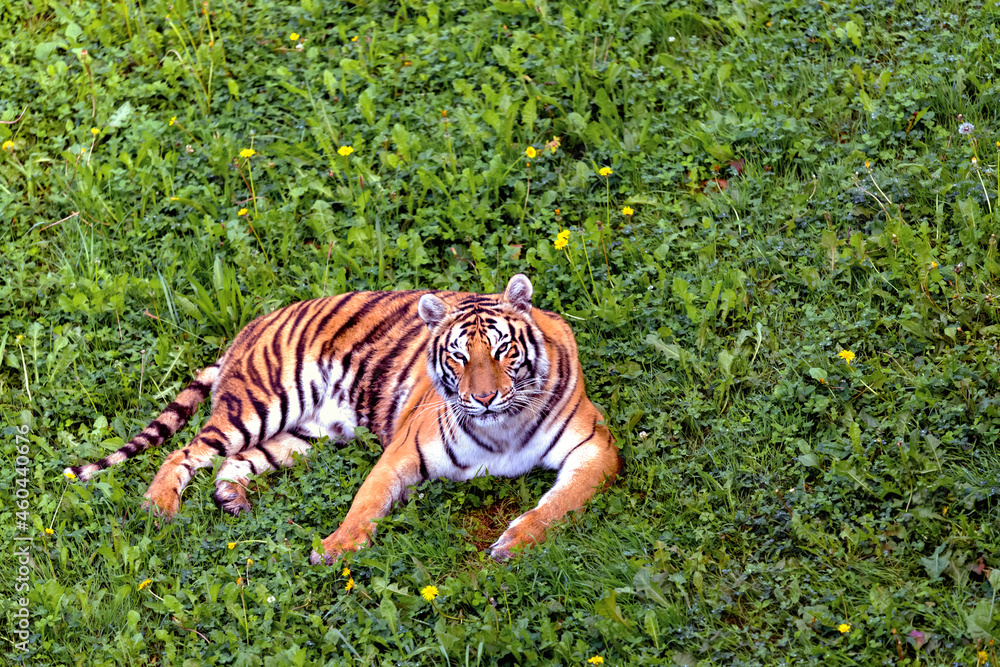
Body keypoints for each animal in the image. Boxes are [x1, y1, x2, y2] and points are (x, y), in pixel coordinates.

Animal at [64, 274, 621, 563]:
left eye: (504, 350)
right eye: (459, 356)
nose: (483, 399)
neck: (501, 427)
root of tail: (251, 326)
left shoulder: (595, 447)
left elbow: (562, 503)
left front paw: (514, 543)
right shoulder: (405, 449)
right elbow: (366, 502)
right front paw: (334, 549)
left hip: (304, 434)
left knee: (234, 461)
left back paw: (232, 498)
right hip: (262, 404)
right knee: (185, 452)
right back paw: (159, 507)